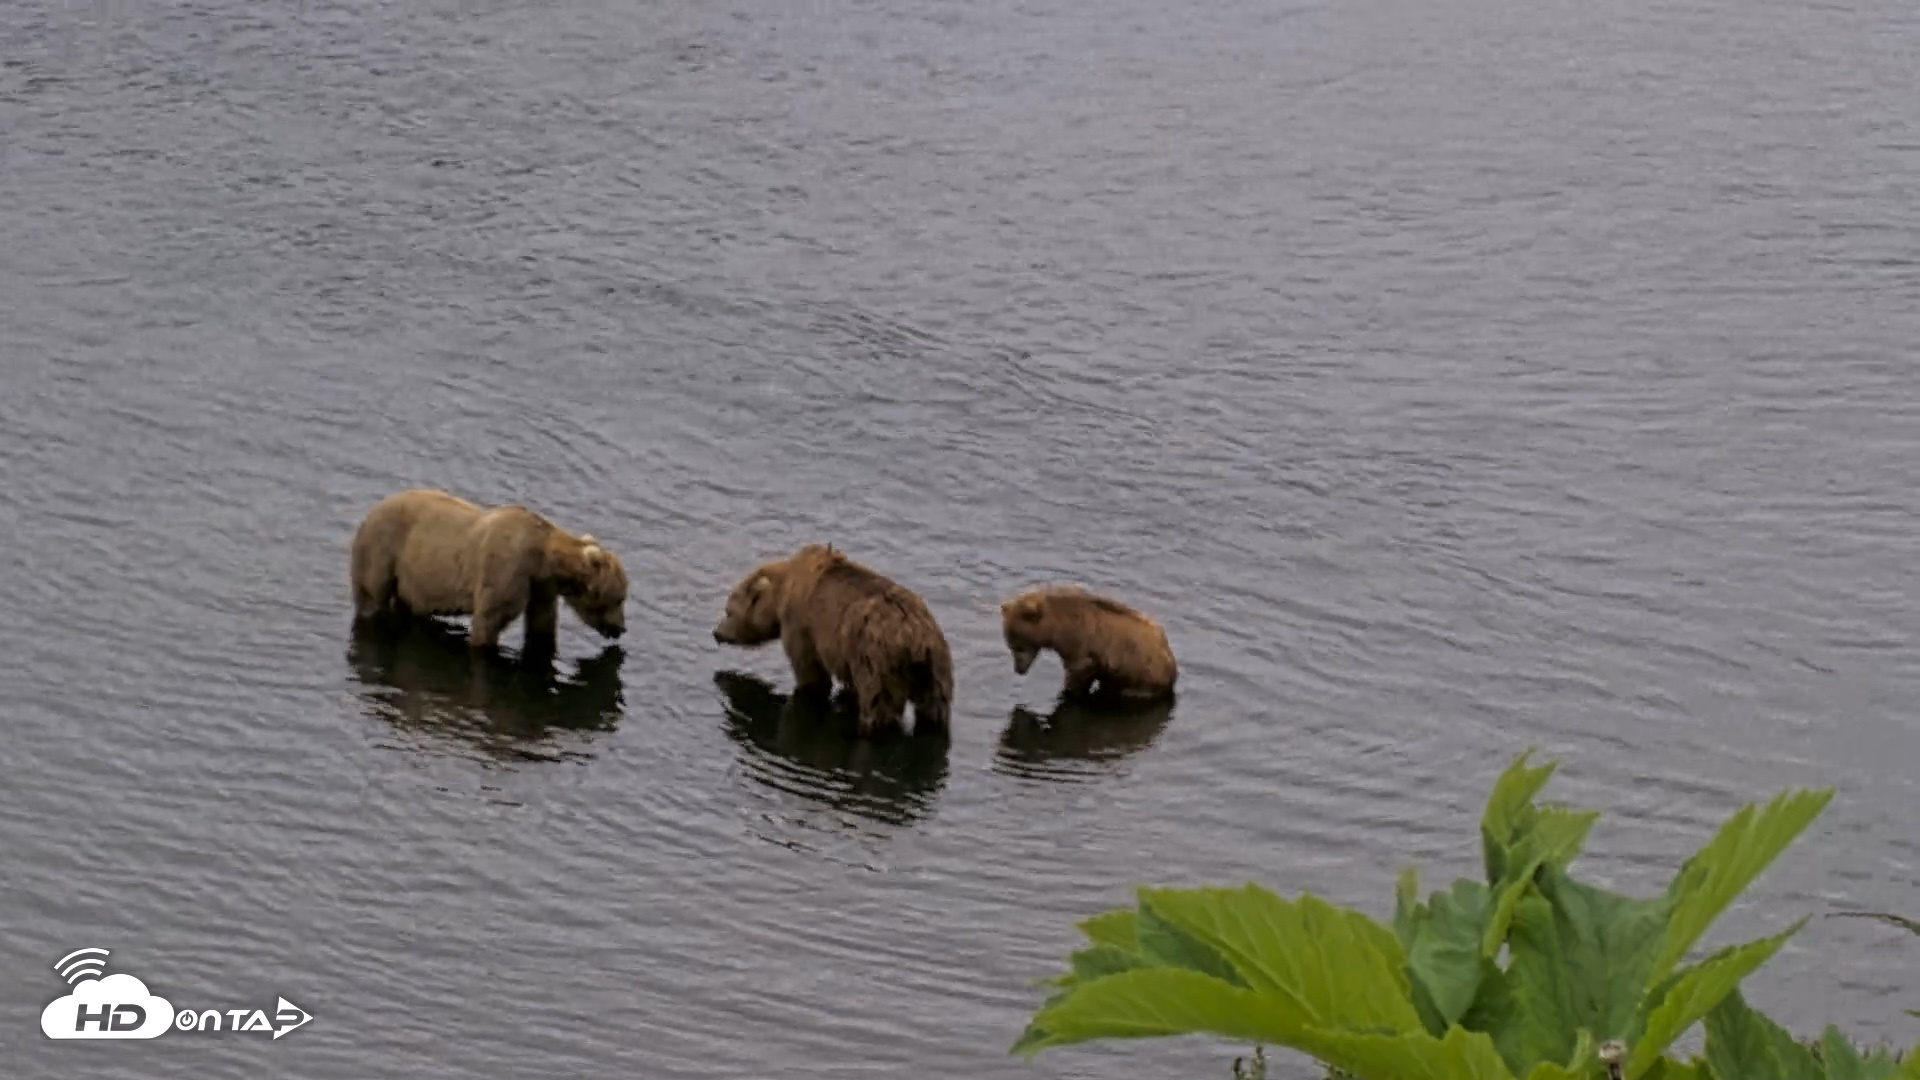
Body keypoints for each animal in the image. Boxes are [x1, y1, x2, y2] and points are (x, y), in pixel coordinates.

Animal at [349, 488, 628, 653]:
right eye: (617, 599)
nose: (621, 628)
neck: (542, 559)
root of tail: (371, 509)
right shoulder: (506, 570)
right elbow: (490, 620)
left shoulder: (540, 586)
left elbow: (542, 625)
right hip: (383, 550)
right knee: (372, 596)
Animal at [711, 543, 954, 735]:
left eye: (728, 610)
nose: (716, 633)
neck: (783, 591)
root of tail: (914, 638)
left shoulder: (802, 625)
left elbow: (810, 672)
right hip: (936, 666)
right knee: (935, 707)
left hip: (878, 660)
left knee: (878, 704)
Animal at [1000, 584, 1178, 701]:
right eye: (1011, 645)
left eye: (1017, 647)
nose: (1019, 670)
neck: (1056, 627)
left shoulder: (1081, 646)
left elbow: (1079, 671)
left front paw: (1069, 690)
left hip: (1140, 674)